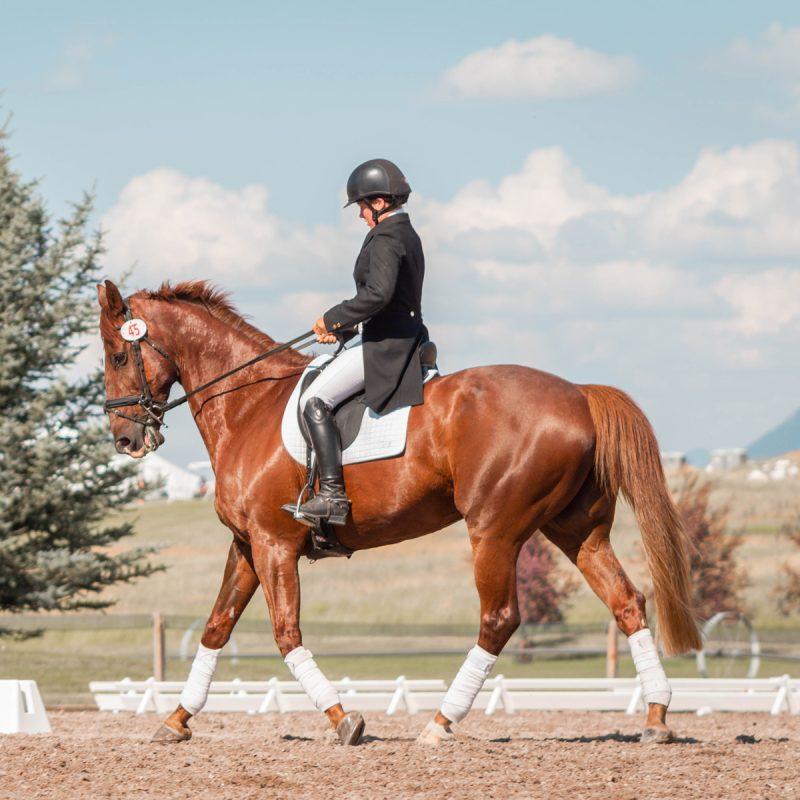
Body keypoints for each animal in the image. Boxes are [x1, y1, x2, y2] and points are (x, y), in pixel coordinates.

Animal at [98, 278, 700, 746]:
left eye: (119, 355)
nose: (126, 439)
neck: (248, 405)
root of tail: (578, 394)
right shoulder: (247, 544)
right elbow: (217, 626)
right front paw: (176, 720)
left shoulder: (274, 543)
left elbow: (286, 633)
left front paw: (344, 720)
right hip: (577, 530)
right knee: (626, 602)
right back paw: (656, 717)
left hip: (495, 530)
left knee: (499, 619)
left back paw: (440, 723)